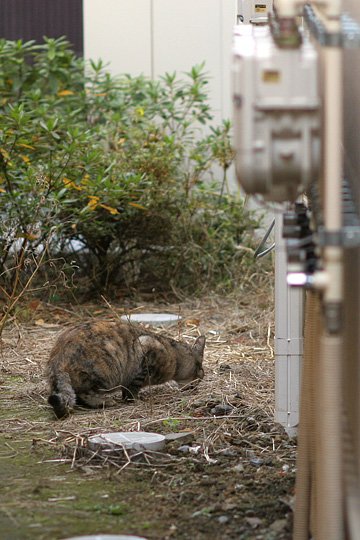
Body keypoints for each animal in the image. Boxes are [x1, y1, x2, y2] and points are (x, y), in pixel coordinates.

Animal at [46, 318, 205, 420]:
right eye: (200, 374)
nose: (199, 383)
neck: (175, 357)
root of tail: (57, 360)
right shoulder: (145, 350)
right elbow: (132, 388)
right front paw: (134, 400)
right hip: (104, 372)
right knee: (85, 393)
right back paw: (104, 402)